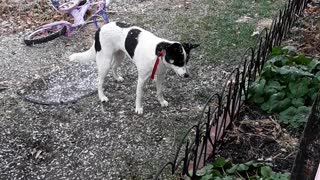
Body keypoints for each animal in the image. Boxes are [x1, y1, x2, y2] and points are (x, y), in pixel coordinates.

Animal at [69, 21, 199, 113]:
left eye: (186, 61)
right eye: (179, 61)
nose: (187, 75)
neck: (158, 53)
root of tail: (100, 28)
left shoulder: (160, 75)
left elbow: (159, 91)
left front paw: (161, 101)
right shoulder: (141, 79)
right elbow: (139, 95)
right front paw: (138, 108)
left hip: (120, 55)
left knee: (114, 66)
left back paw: (117, 78)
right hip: (104, 62)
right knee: (100, 81)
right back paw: (102, 97)